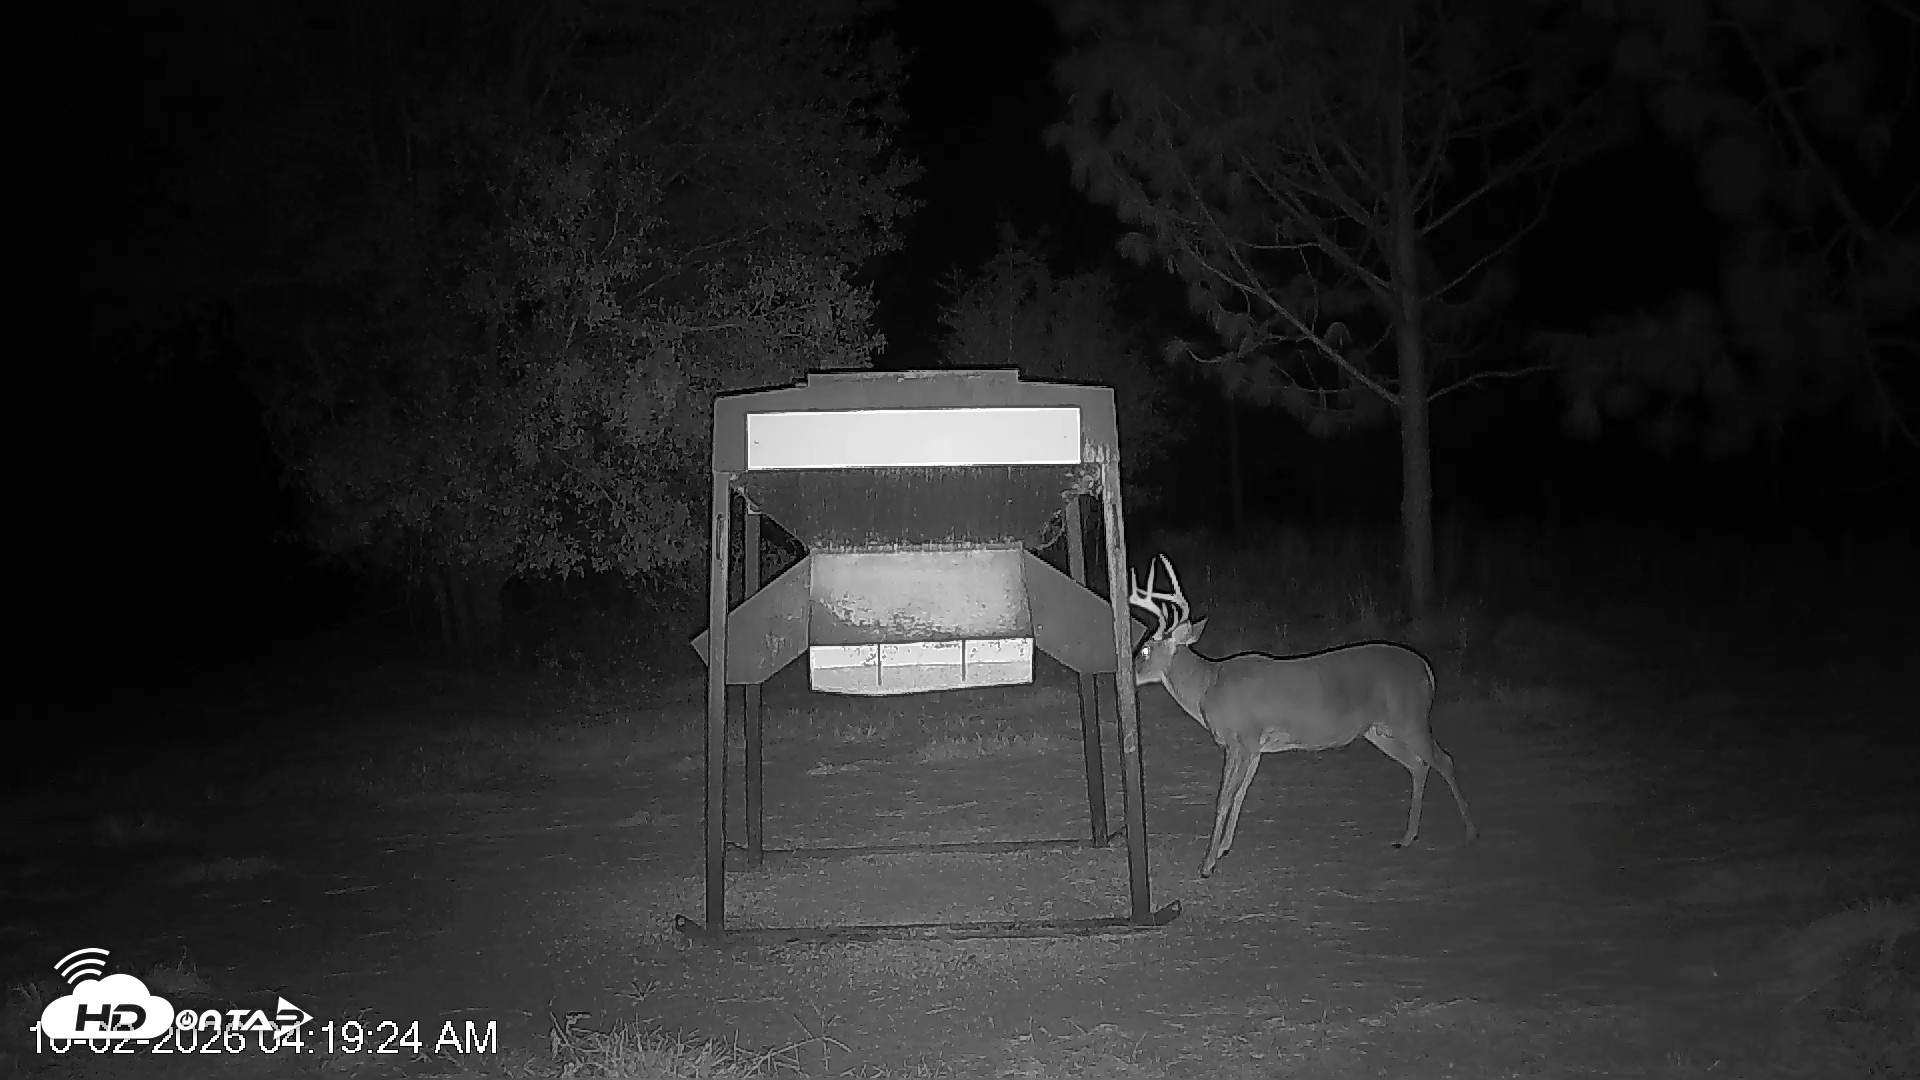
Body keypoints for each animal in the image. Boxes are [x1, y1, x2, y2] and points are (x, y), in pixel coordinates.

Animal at [1127, 554, 1477, 877]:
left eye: (1144, 650)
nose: (1126, 673)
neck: (1208, 687)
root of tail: (1427, 670)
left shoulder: (1241, 739)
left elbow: (1224, 799)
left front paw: (1207, 864)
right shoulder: (1255, 748)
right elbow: (1240, 795)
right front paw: (1225, 848)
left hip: (1411, 718)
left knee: (1444, 760)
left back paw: (1470, 833)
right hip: (1379, 730)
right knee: (1419, 765)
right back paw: (1406, 838)